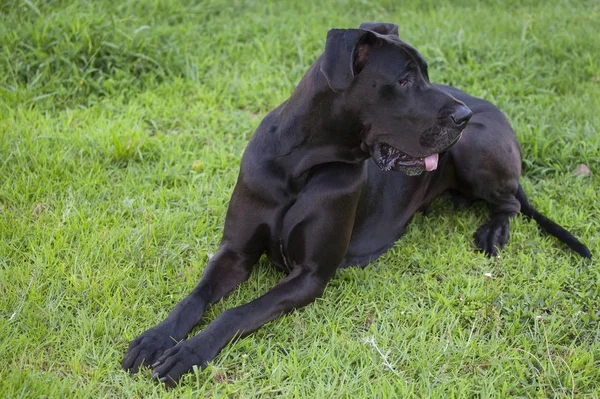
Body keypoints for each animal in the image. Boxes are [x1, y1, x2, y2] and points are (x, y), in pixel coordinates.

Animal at [123, 22, 592, 388]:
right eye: (404, 81)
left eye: (426, 75)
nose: (462, 116)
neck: (301, 165)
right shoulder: (234, 254)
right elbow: (195, 297)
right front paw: (156, 337)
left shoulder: (310, 276)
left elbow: (237, 312)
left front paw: (190, 353)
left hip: (477, 148)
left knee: (510, 201)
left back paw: (493, 230)